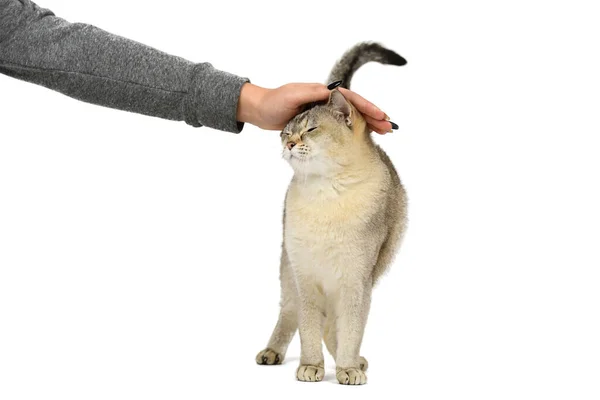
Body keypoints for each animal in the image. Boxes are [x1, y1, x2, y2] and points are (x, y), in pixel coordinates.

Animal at [253, 43, 408, 384]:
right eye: (285, 133)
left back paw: (352, 363)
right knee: (290, 313)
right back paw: (272, 353)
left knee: (332, 326)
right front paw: (311, 366)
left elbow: (350, 330)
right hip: (288, 269)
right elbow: (309, 328)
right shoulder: (305, 277)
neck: (326, 195)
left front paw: (347, 368)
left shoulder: (356, 282)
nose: (290, 143)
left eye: (311, 129)